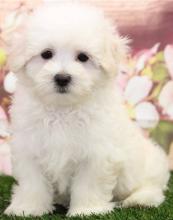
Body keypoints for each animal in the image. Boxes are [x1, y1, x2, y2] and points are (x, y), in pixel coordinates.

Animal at [4, 2, 170, 217]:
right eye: (46, 54)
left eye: (83, 57)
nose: (62, 78)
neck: (62, 109)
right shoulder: (29, 148)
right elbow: (32, 183)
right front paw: (27, 208)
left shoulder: (97, 153)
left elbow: (89, 184)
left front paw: (87, 210)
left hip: (149, 166)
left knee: (153, 187)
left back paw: (139, 200)